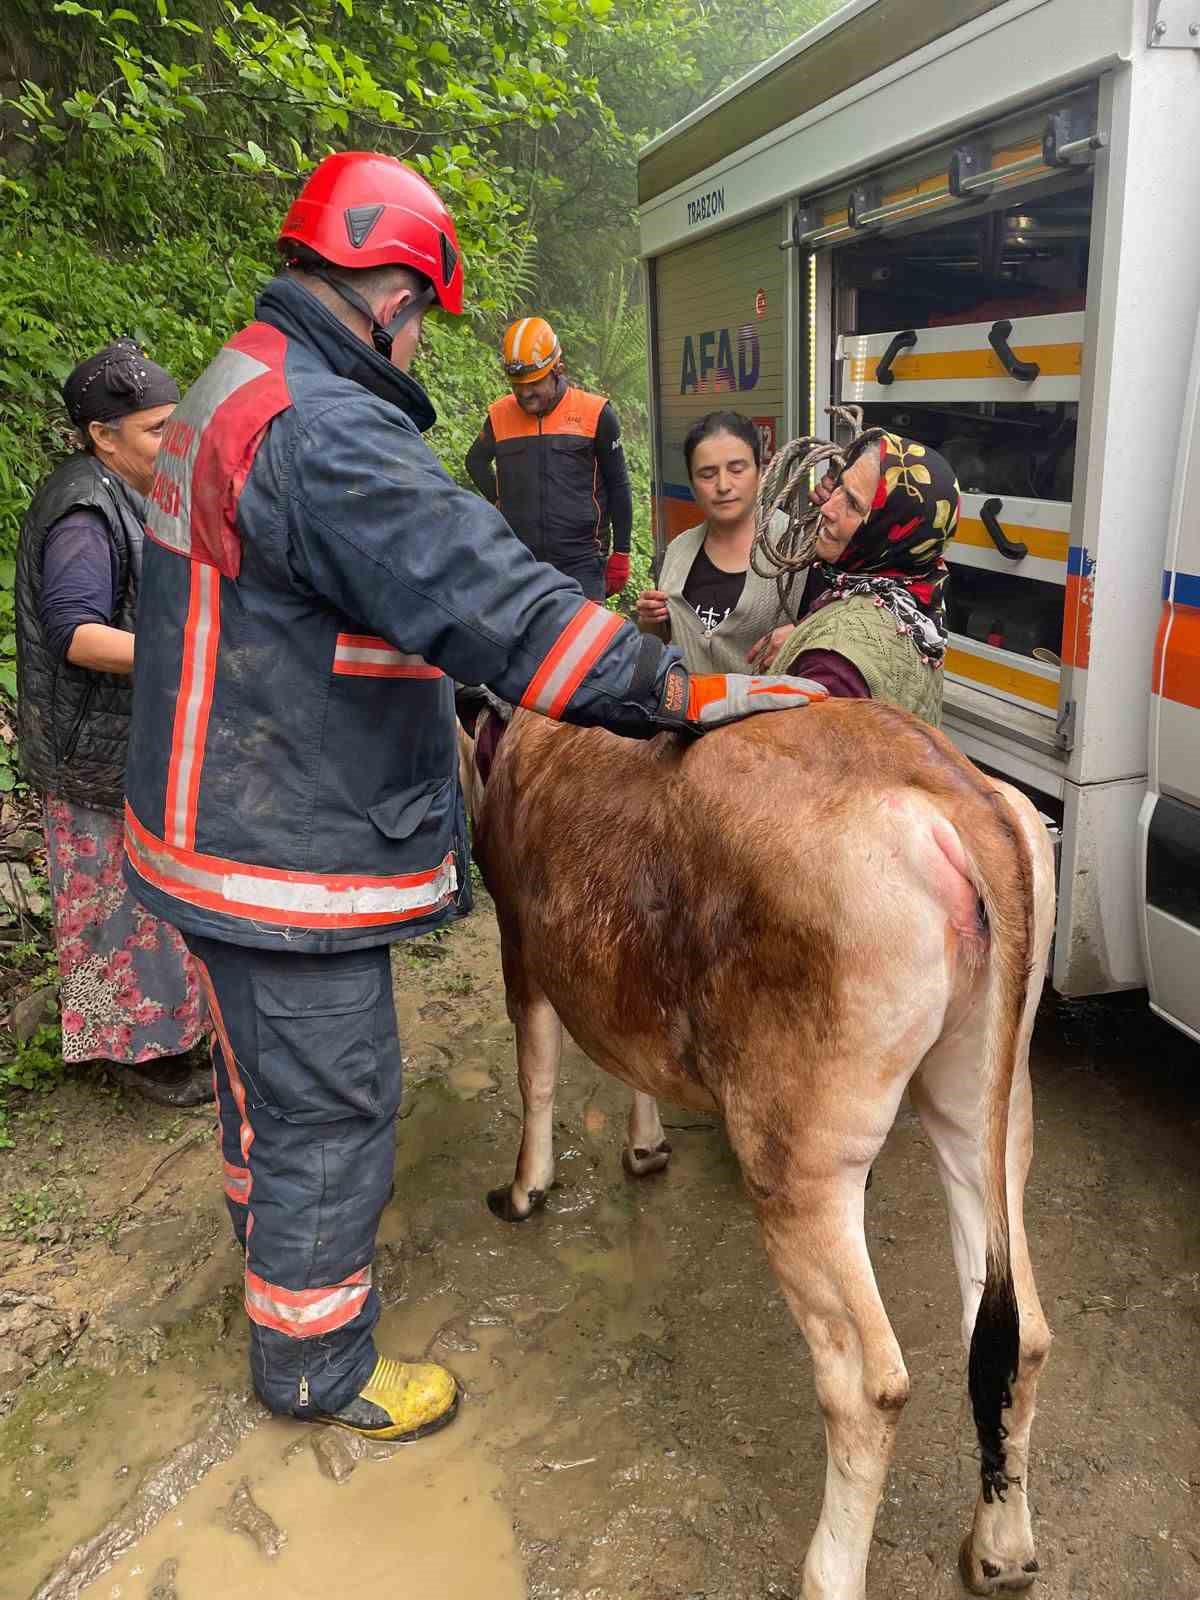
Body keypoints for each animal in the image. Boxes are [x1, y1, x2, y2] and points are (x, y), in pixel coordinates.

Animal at [464, 700, 1049, 1600]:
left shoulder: (520, 942)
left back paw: (830, 1573)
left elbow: (538, 1071)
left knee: (869, 1384)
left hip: (800, 1152)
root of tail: (957, 790)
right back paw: (1003, 1549)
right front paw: (644, 1146)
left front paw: (525, 1190)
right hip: (985, 1106)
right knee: (1016, 1331)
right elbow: (632, 1065)